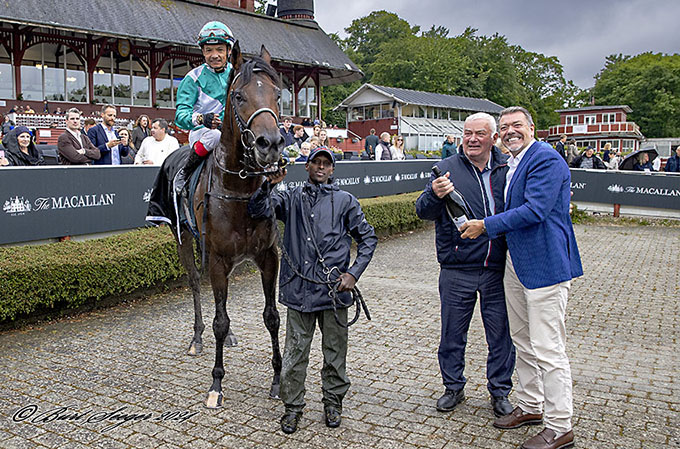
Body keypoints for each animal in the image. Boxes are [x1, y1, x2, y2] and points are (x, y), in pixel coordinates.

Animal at [177, 43, 286, 406]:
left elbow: (272, 316)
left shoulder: (268, 256)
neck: (239, 189)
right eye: (238, 96)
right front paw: (216, 384)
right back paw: (197, 339)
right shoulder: (218, 259)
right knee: (196, 286)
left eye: (277, 94)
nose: (271, 143)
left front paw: (278, 380)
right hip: (184, 242)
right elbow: (218, 321)